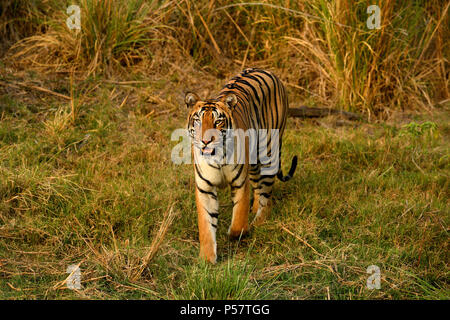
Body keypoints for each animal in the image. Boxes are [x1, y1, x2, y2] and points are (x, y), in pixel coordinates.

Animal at [185, 67, 298, 262]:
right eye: (198, 121)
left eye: (218, 121)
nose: (205, 141)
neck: (216, 157)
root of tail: (267, 71)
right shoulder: (205, 188)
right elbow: (206, 225)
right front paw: (207, 259)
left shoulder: (240, 182)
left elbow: (238, 217)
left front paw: (235, 234)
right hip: (253, 164)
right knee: (259, 187)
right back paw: (255, 210)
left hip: (268, 152)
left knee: (266, 196)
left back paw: (258, 221)